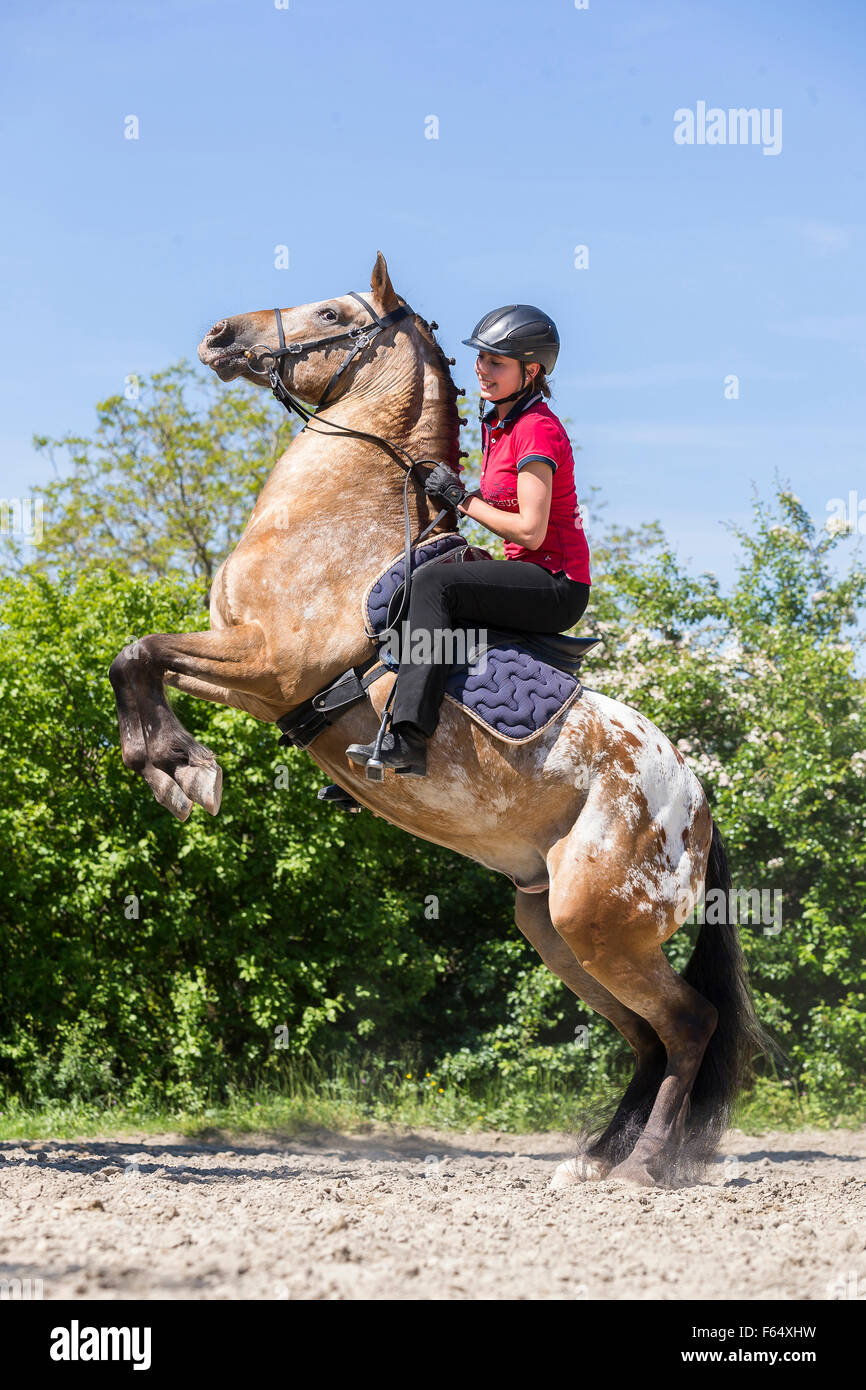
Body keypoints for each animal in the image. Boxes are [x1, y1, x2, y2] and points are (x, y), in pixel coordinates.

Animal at [109, 252, 772, 1187]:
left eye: (332, 311)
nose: (219, 335)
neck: (341, 520)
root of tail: (700, 805)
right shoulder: (246, 670)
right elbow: (135, 657)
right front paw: (170, 766)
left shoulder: (268, 664)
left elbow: (139, 652)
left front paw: (182, 770)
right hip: (557, 927)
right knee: (646, 1034)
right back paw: (592, 1160)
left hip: (598, 923)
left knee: (687, 1027)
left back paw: (641, 1168)